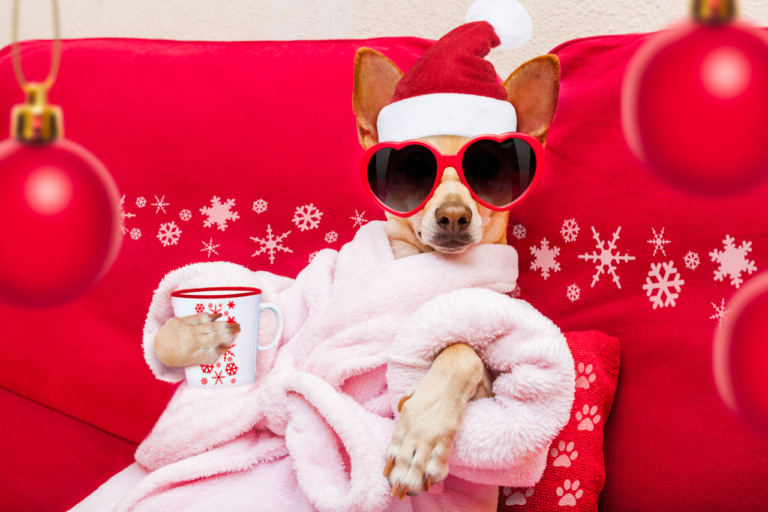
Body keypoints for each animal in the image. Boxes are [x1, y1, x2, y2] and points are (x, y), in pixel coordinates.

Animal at [154, 49, 560, 500]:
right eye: (413, 168)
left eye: (488, 169)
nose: (453, 215)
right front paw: (196, 336)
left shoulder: (494, 390)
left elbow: (461, 352)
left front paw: (420, 437)